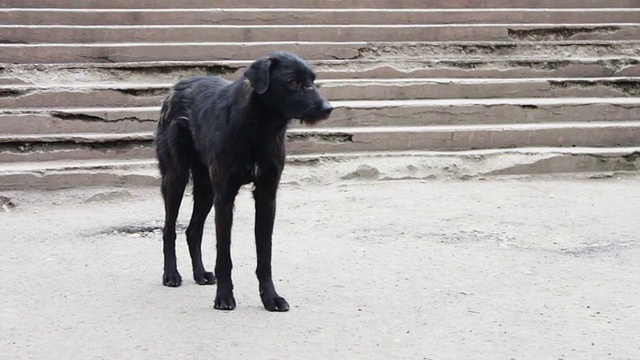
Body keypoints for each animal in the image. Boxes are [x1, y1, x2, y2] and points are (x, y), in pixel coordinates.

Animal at [153, 51, 332, 312]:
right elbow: (224, 256)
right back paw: (171, 274)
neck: (259, 128)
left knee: (193, 231)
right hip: (176, 178)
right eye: (293, 82)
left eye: (312, 79)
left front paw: (270, 298)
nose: (328, 108)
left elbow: (265, 256)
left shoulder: (266, 196)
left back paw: (200, 274)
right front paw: (224, 297)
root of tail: (177, 87)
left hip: (207, 190)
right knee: (169, 230)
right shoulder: (225, 197)